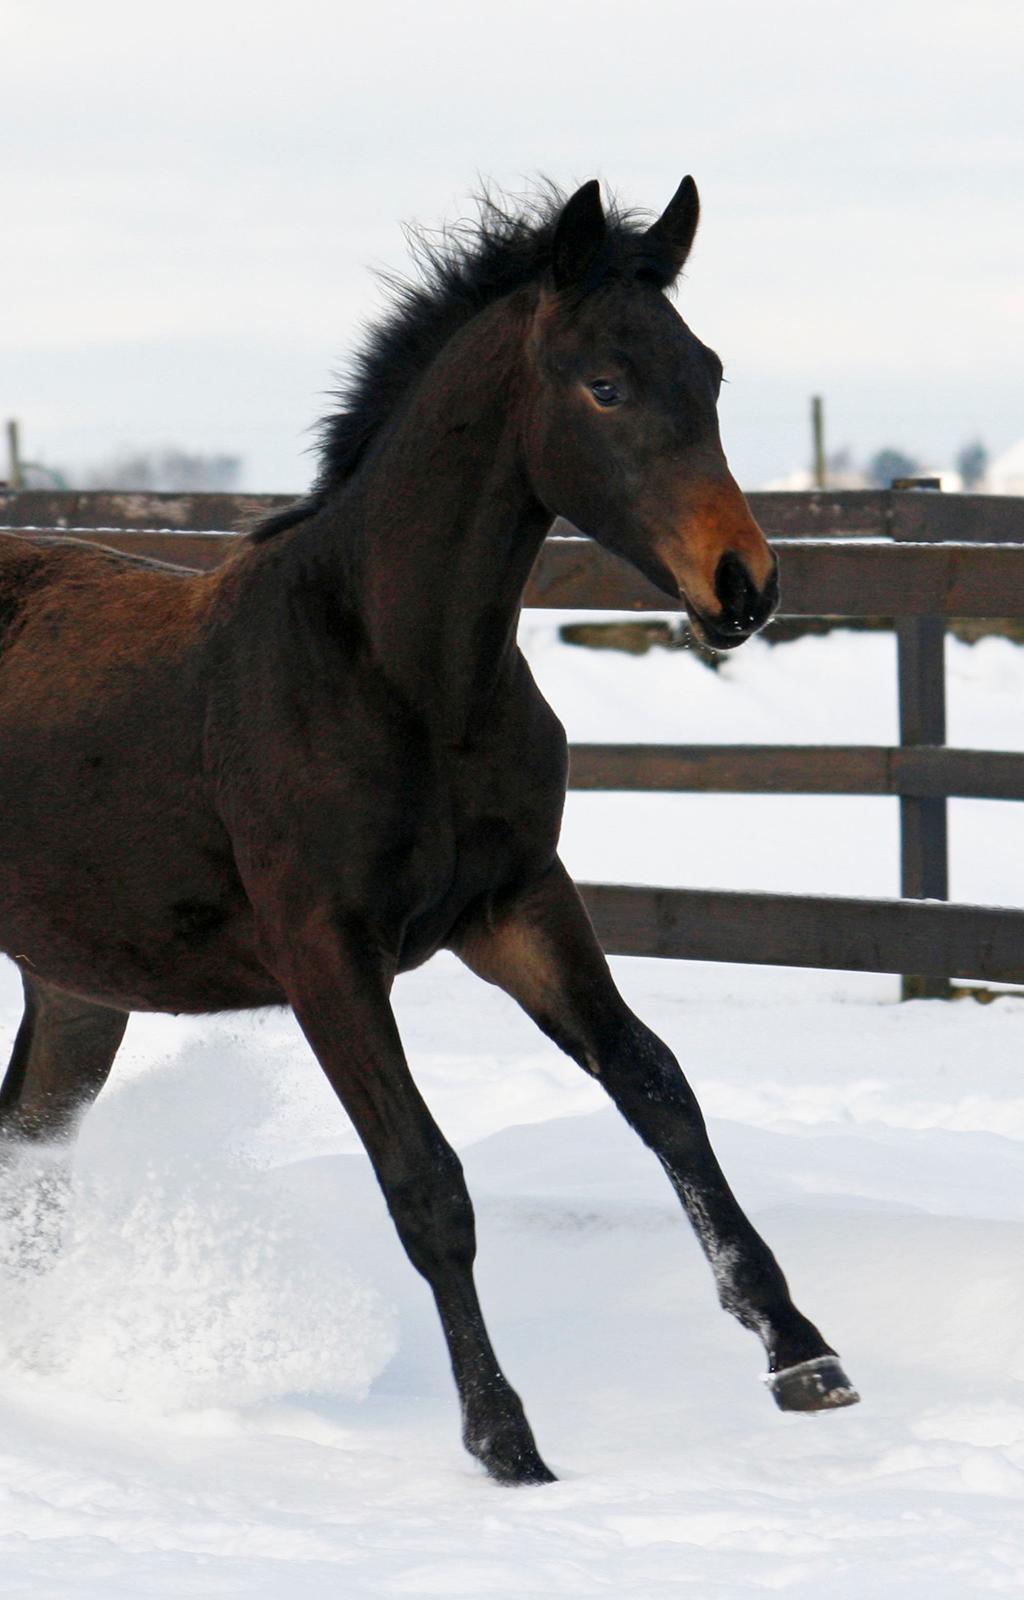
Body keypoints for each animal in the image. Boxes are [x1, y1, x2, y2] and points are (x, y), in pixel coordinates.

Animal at [0, 178, 857, 1484]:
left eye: (707, 370)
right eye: (603, 384)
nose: (743, 586)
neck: (398, 674)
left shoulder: (515, 906)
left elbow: (658, 1088)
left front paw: (800, 1352)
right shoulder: (323, 955)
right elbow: (425, 1179)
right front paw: (504, 1438)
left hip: (79, 982)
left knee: (30, 1146)